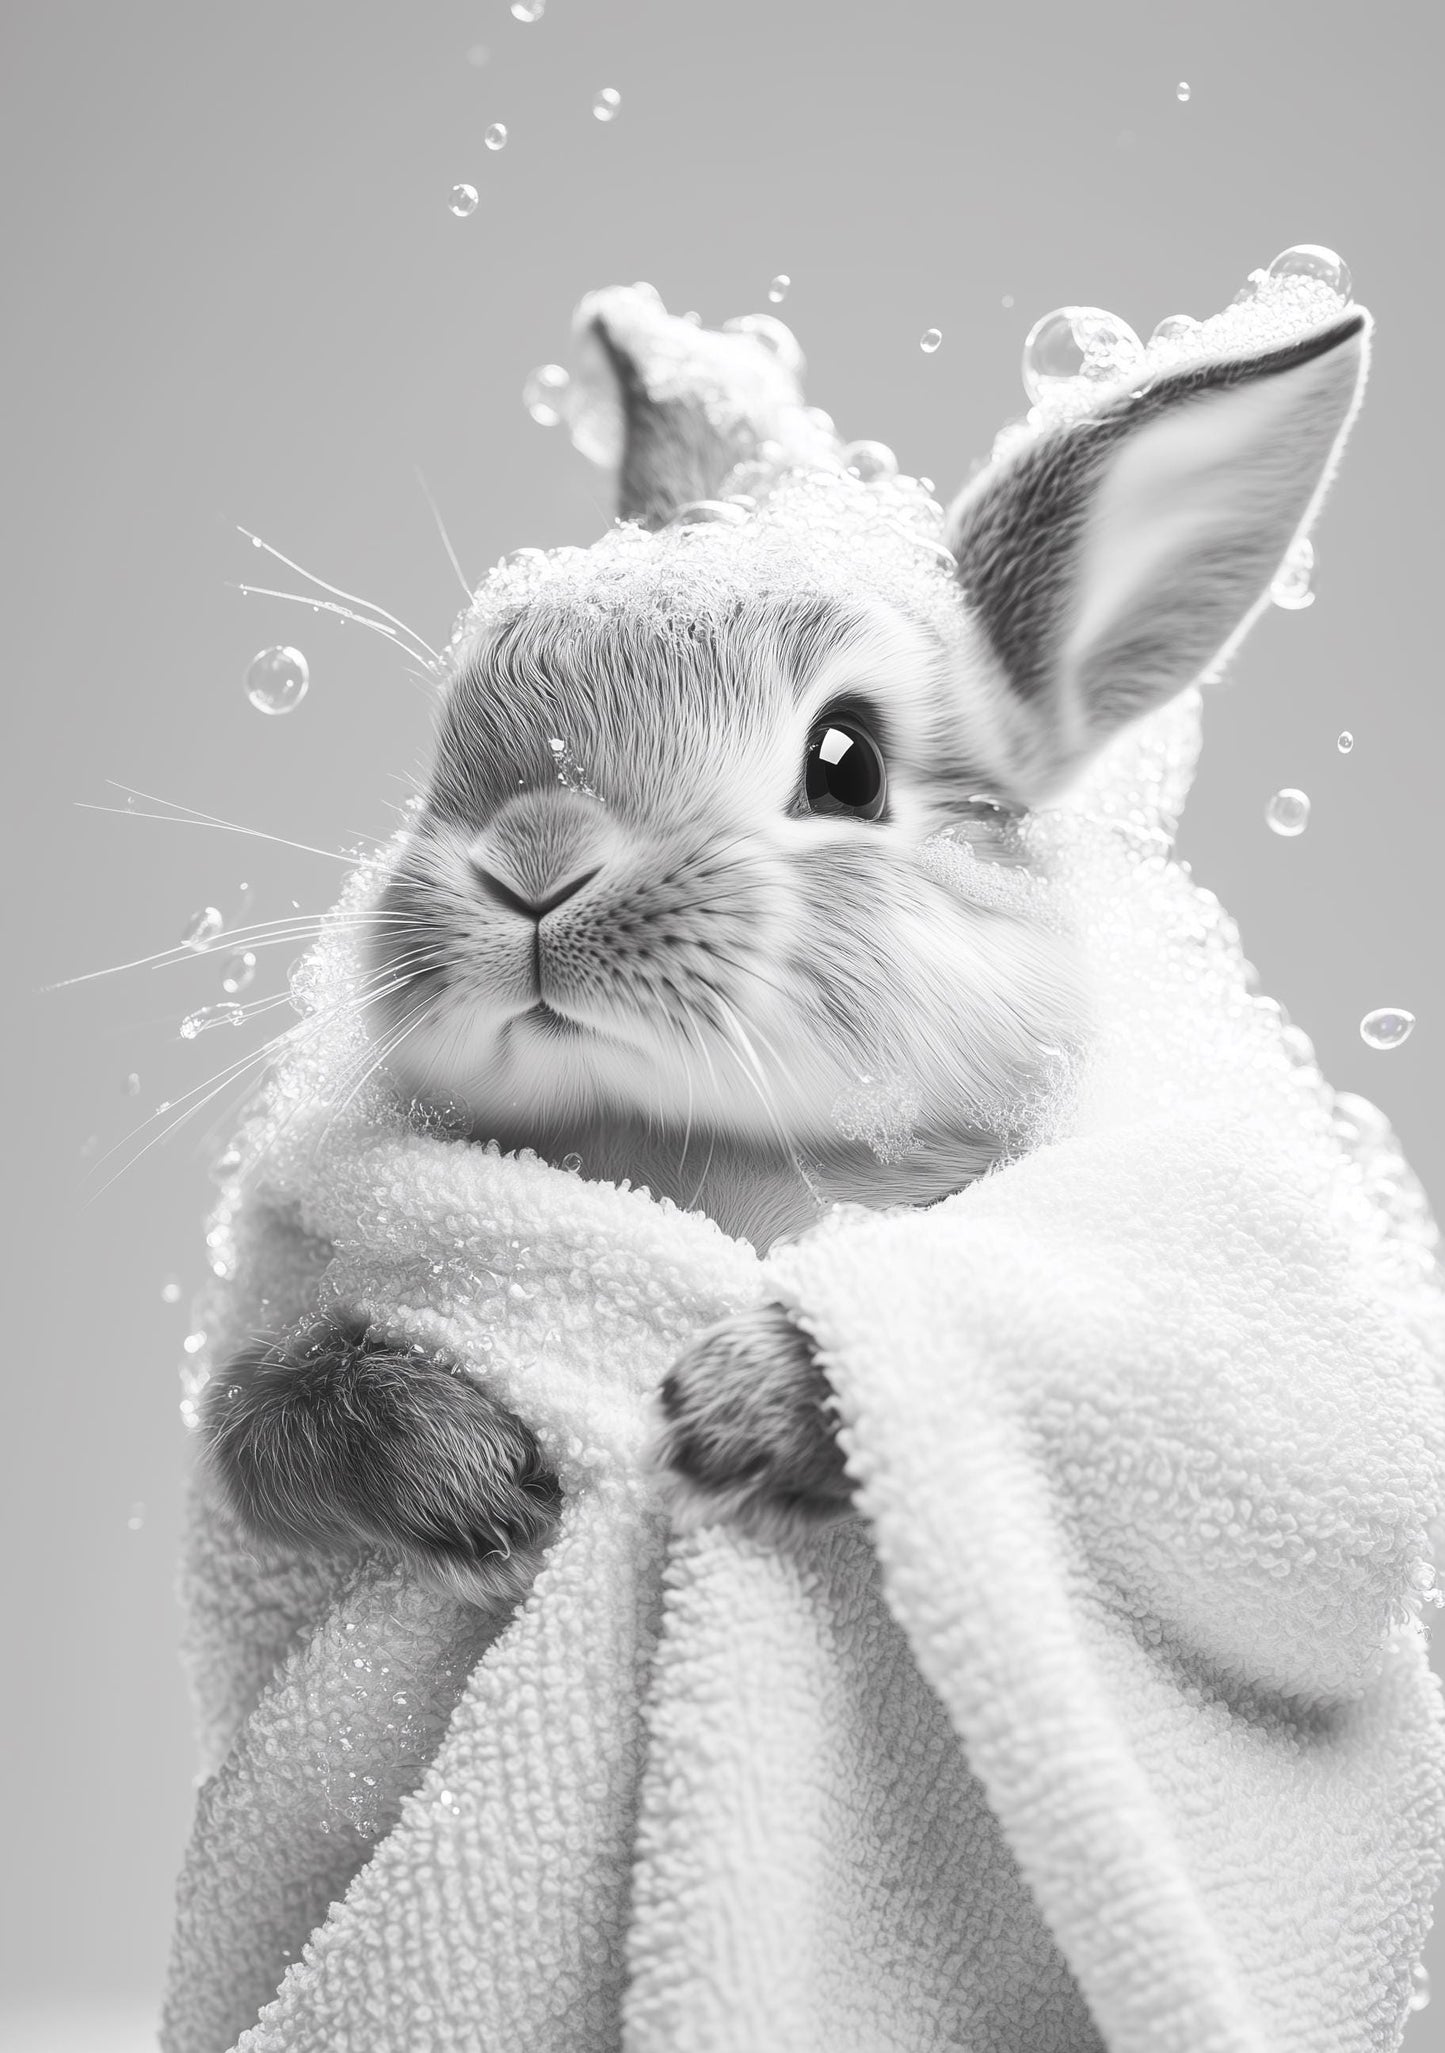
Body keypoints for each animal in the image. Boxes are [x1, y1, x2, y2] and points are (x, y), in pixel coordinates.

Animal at [202, 279, 1370, 1600]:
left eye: (847, 762)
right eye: (448, 739)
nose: (534, 862)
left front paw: (735, 1413)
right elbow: (262, 1417)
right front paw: (454, 1469)